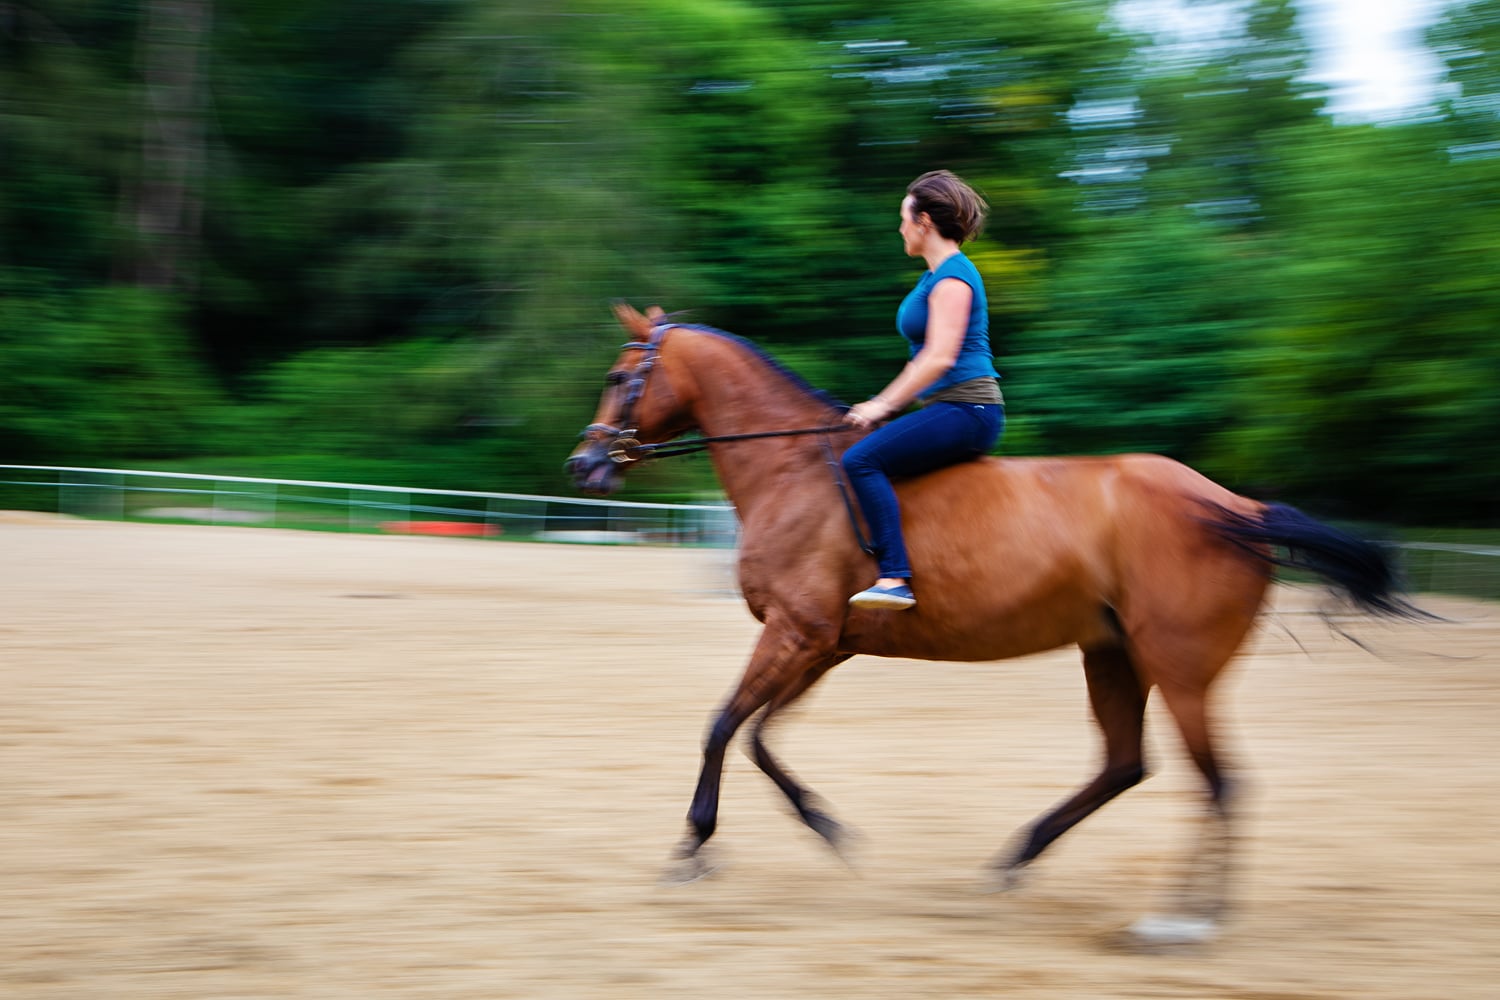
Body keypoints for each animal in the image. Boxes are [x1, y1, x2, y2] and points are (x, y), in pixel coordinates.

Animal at [564, 305, 1428, 947]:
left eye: (619, 377)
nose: (583, 465)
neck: (796, 473)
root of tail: (1237, 508)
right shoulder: (823, 645)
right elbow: (758, 736)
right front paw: (827, 825)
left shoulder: (795, 634)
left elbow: (721, 726)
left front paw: (693, 844)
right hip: (1112, 654)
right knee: (1126, 765)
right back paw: (1018, 857)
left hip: (1178, 668)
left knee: (1219, 785)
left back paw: (1182, 922)